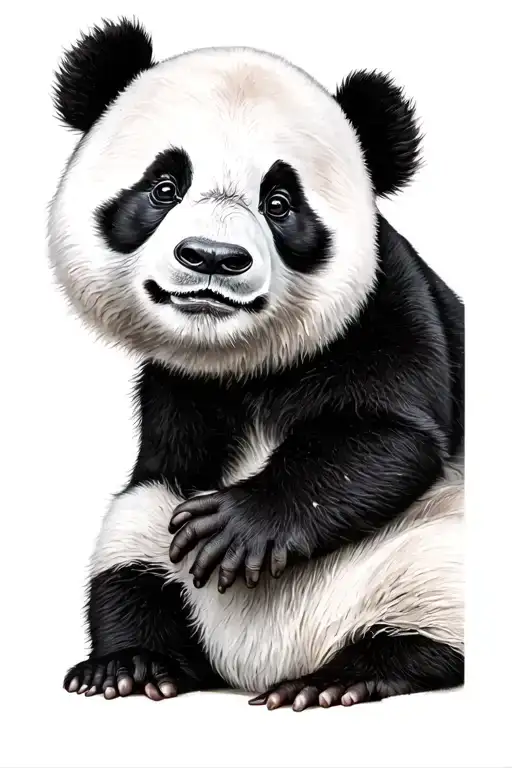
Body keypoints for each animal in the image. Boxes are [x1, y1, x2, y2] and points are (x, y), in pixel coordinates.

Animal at [49, 18, 464, 710]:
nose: (213, 257)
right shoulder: (174, 387)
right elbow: (168, 463)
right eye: (164, 187)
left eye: (279, 202)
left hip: (425, 543)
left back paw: (345, 678)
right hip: (144, 537)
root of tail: (256, 666)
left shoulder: (391, 301)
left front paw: (237, 527)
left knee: (432, 600)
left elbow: (390, 434)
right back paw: (132, 665)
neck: (245, 360)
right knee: (130, 553)